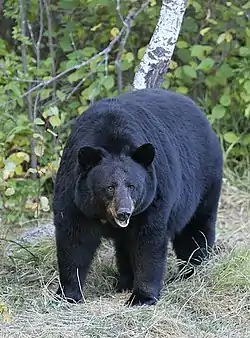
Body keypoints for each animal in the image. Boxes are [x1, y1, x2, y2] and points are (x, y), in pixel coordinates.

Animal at [53, 89, 223, 306]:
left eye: (132, 186)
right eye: (109, 187)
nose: (124, 212)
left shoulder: (154, 196)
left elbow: (148, 242)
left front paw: (142, 297)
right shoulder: (74, 197)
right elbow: (74, 240)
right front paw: (68, 294)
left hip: (205, 182)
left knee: (195, 229)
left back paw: (194, 269)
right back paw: (125, 283)